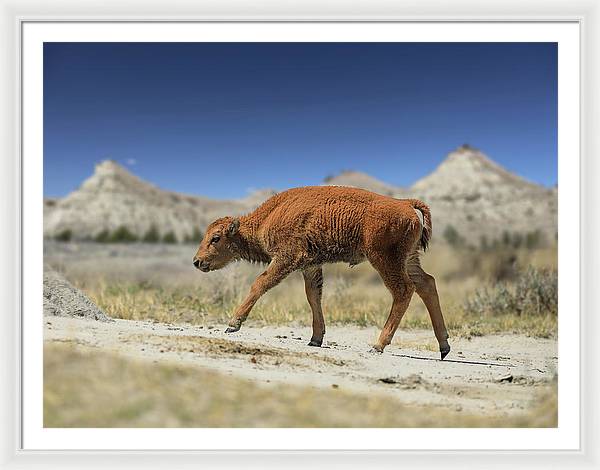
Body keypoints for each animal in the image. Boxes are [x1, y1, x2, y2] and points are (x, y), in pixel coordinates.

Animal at [192, 185, 450, 358]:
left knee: (404, 290)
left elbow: (260, 283)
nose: (196, 261)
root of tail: (405, 203)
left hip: (384, 260)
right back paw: (444, 346)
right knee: (427, 284)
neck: (267, 218)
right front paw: (315, 339)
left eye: (216, 238)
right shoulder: (311, 266)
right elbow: (313, 297)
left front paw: (233, 324)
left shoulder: (286, 259)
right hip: (409, 259)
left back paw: (378, 345)